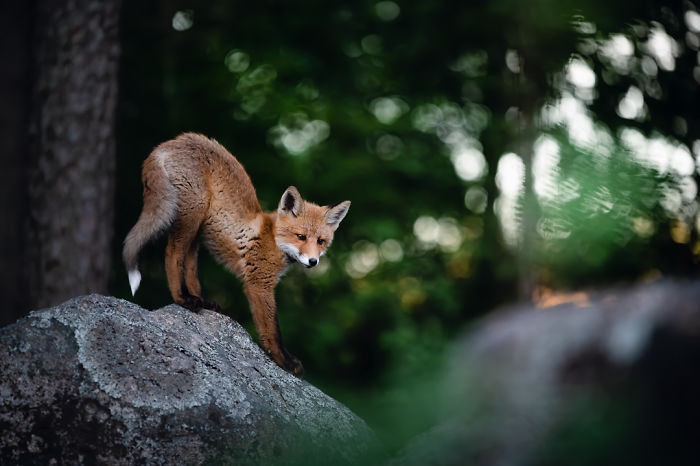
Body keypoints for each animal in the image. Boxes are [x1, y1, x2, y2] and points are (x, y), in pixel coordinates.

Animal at [122, 133, 350, 376]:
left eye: (321, 241)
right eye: (300, 237)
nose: (313, 261)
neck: (272, 238)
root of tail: (171, 142)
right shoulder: (259, 284)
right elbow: (272, 330)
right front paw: (284, 361)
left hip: (198, 227)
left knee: (190, 264)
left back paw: (202, 300)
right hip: (192, 214)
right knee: (172, 253)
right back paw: (182, 299)